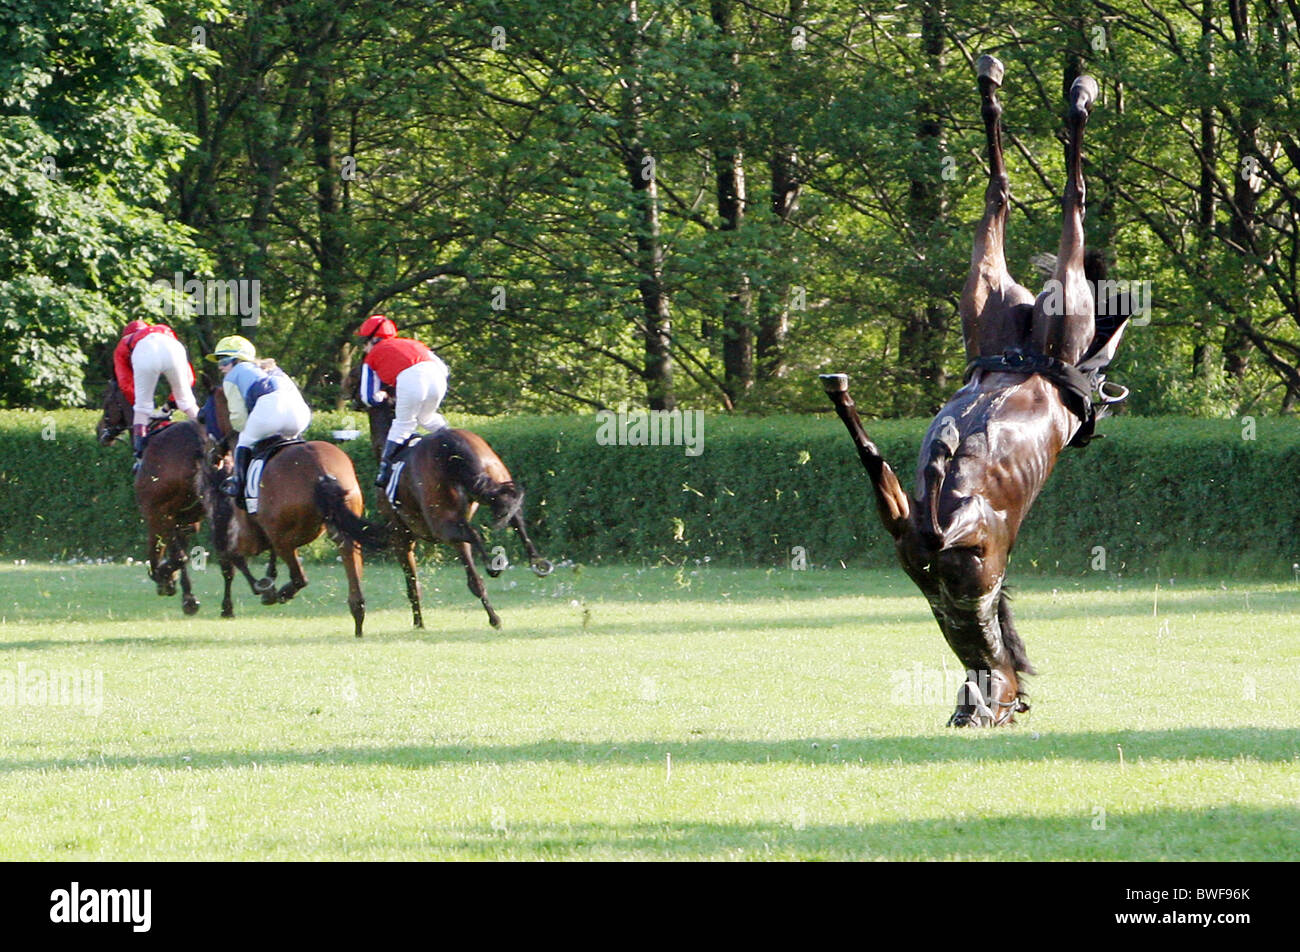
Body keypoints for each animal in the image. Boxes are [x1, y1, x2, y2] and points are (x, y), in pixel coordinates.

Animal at [204, 382, 384, 634]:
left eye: (204, 416)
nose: (213, 457)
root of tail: (320, 470)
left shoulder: (251, 536)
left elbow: (234, 556)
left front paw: (259, 589)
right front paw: (266, 581)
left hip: (287, 538)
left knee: (300, 577)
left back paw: (279, 593)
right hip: (338, 530)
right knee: (348, 567)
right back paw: (358, 619)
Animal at [343, 369, 551, 629]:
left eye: (355, 376)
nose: (346, 392)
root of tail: (452, 444)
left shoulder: (401, 536)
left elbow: (414, 586)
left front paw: (419, 624)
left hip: (441, 524)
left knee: (476, 535)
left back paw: (494, 566)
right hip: (494, 477)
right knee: (515, 518)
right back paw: (537, 562)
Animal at [821, 57, 1128, 728]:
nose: (984, 711)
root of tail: (1022, 358)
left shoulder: (928, 527)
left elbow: (881, 468)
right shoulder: (929, 533)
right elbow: (890, 474)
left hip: (994, 298)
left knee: (1009, 194)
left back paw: (1016, 87)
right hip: (1039, 305)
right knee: (1049, 200)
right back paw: (1057, 93)